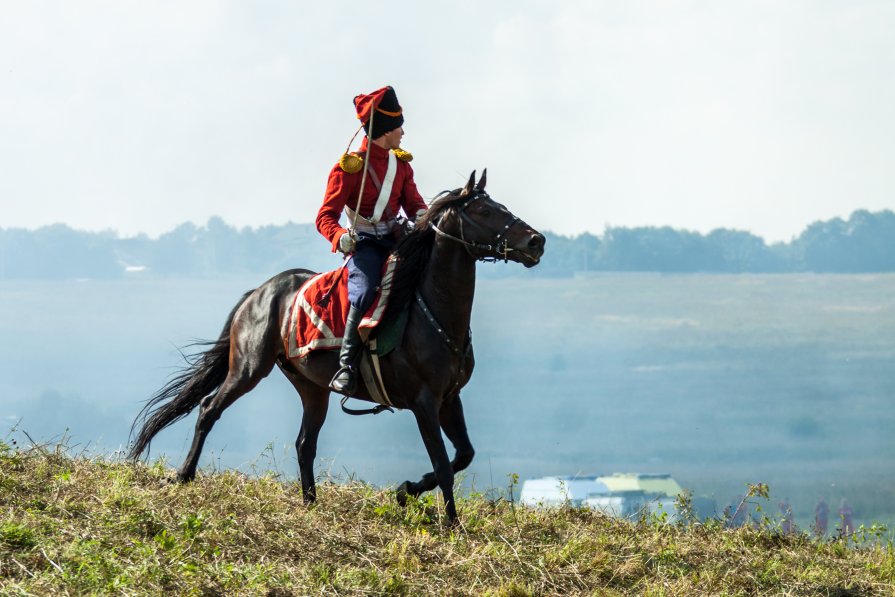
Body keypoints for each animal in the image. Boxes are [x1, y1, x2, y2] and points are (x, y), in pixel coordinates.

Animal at [129, 170, 544, 520]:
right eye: (483, 210)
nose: (536, 241)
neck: (431, 311)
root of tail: (260, 292)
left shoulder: (448, 399)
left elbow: (463, 456)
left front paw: (405, 490)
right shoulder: (424, 403)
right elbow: (443, 464)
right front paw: (452, 523)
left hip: (312, 388)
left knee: (304, 443)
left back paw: (310, 502)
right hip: (248, 369)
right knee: (208, 409)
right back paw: (184, 474)